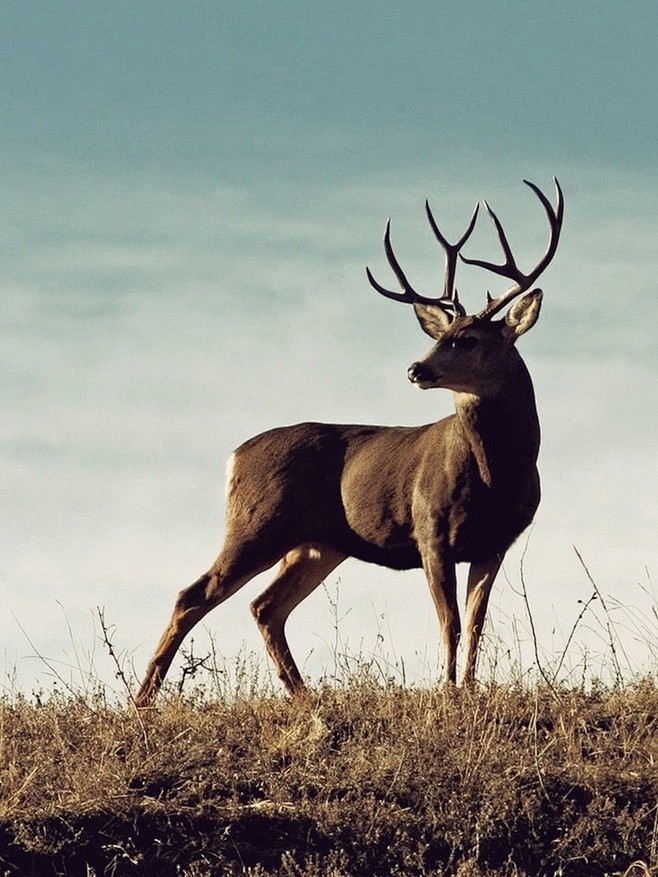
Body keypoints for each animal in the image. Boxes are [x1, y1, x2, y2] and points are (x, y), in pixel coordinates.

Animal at [135, 178, 564, 704]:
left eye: (470, 339)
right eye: (442, 334)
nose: (416, 368)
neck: (494, 477)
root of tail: (233, 457)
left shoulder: (495, 542)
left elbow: (477, 625)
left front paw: (467, 689)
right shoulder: (430, 531)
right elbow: (451, 622)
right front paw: (445, 692)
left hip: (317, 544)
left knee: (265, 606)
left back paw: (302, 695)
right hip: (256, 525)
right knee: (193, 595)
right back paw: (143, 700)